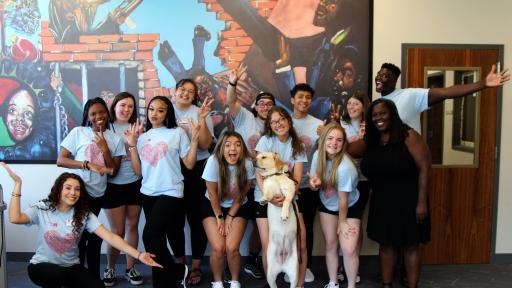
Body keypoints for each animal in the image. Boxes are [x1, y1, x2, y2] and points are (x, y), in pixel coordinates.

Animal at [258, 152, 298, 286]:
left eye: (263, 157)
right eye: (256, 156)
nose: (253, 161)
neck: (274, 176)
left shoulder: (289, 189)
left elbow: (286, 201)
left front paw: (284, 213)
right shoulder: (271, 190)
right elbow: (268, 194)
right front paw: (263, 199)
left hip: (295, 276)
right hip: (270, 275)